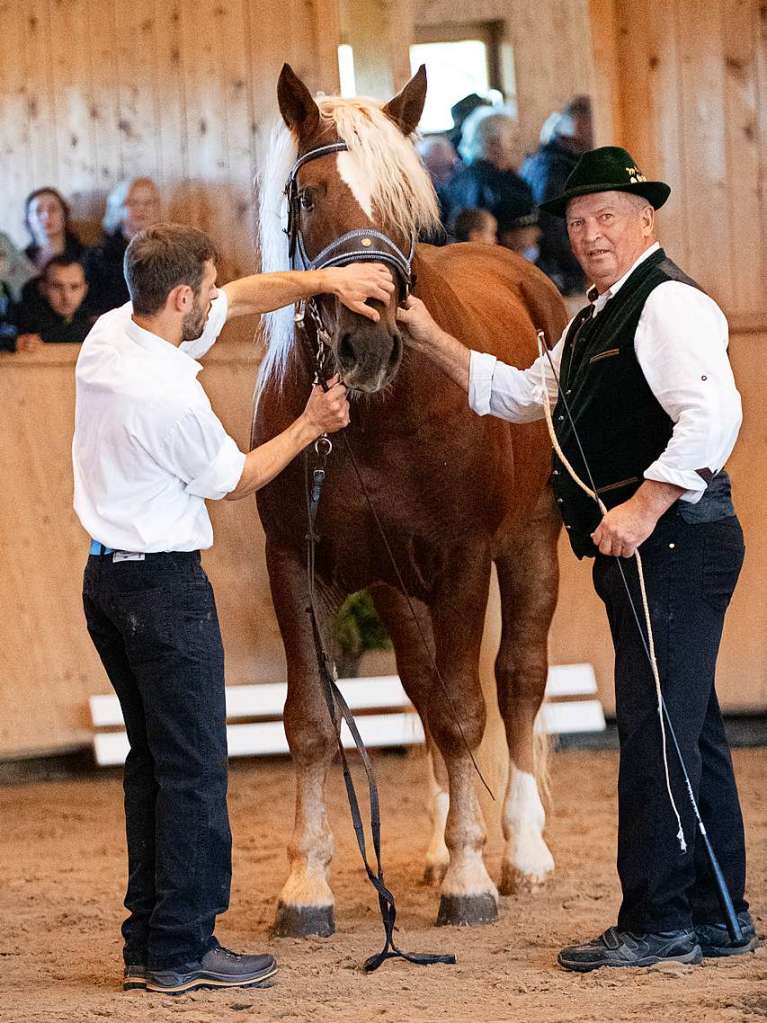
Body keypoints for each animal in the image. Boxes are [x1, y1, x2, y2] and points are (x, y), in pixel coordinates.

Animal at [253, 68, 572, 937]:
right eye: (311, 196)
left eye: (405, 209)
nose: (368, 342)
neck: (374, 420)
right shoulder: (298, 564)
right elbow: (311, 720)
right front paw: (306, 884)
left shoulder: (464, 559)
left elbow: (467, 711)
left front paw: (470, 878)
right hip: (399, 587)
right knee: (424, 689)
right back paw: (434, 847)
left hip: (529, 545)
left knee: (517, 678)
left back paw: (522, 852)